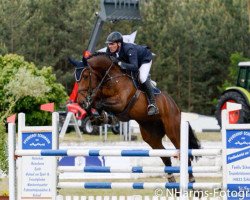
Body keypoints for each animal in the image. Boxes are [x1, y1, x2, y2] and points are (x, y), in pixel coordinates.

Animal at [75, 52, 200, 184]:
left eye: (85, 76)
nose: (80, 101)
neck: (111, 77)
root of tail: (176, 107)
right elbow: (95, 102)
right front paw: (98, 117)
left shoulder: (120, 103)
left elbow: (99, 103)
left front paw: (104, 117)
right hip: (151, 137)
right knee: (164, 156)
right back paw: (171, 179)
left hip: (173, 131)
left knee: (183, 151)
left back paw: (191, 179)